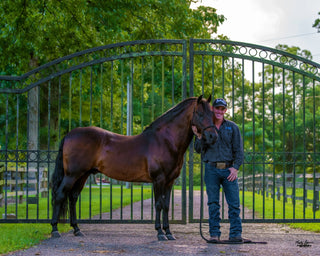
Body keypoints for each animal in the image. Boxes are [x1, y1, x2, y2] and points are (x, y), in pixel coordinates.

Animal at [50, 94, 218, 240]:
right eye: (200, 113)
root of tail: (69, 135)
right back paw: (55, 230)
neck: (165, 141)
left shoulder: (169, 182)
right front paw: (160, 233)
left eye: (213, 114)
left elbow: (166, 206)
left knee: (73, 197)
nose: (213, 137)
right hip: (72, 175)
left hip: (82, 175)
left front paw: (169, 233)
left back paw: (77, 229)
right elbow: (158, 204)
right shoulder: (159, 180)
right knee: (60, 195)